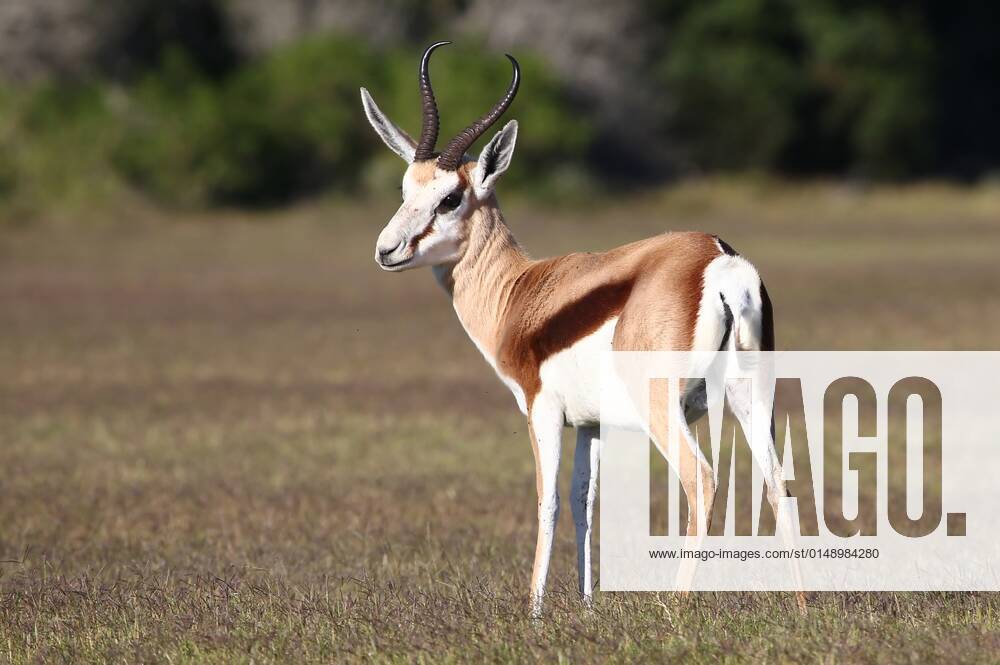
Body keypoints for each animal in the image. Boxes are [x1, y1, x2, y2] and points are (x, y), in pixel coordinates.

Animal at [361, 42, 801, 617]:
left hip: (665, 408)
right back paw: (802, 608)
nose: (387, 250)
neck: (518, 292)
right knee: (779, 486)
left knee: (701, 480)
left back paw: (675, 609)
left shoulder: (541, 410)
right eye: (404, 188)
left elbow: (546, 501)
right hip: (752, 397)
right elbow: (582, 500)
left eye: (450, 198)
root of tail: (720, 260)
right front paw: (587, 603)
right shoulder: (591, 424)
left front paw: (533, 612)